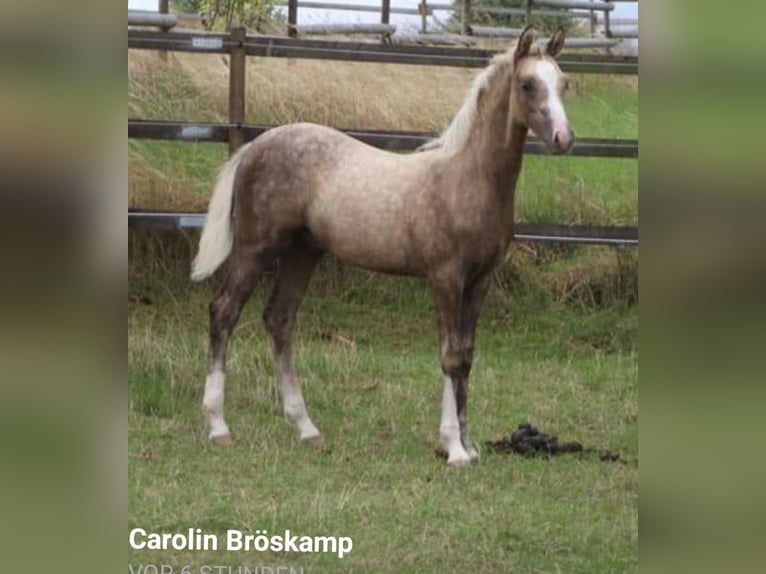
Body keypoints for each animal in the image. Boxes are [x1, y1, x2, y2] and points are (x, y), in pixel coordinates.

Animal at [192, 27, 576, 468]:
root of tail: (252, 148)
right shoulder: (445, 277)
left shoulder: (480, 281)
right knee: (224, 312)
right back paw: (218, 426)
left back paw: (306, 428)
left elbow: (466, 357)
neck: (467, 178)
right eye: (527, 84)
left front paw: (469, 444)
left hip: (302, 253)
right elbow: (450, 356)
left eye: (563, 83)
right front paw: (454, 449)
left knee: (279, 319)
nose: (564, 139)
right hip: (255, 248)